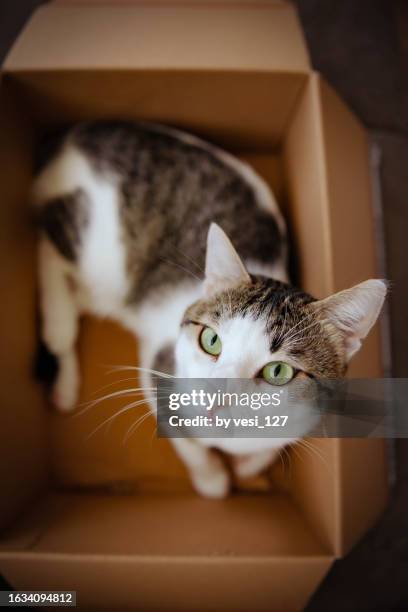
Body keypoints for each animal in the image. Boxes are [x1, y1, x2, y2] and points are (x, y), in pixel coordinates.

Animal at [32, 119, 386, 498]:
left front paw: (249, 466)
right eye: (211, 341)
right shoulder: (159, 373)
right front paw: (212, 480)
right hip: (98, 250)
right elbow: (188, 444)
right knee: (49, 242)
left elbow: (275, 444)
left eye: (278, 372)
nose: (216, 397)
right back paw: (59, 337)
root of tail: (80, 131)